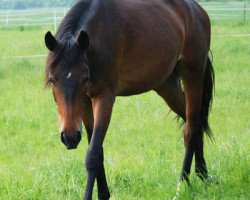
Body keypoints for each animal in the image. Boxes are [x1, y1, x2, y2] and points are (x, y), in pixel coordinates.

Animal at [44, 0, 214, 198]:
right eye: (52, 79)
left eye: (85, 78)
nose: (70, 137)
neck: (97, 39)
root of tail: (198, 11)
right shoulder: (85, 103)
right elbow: (97, 150)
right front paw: (104, 194)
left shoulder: (104, 98)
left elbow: (92, 154)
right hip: (167, 86)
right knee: (195, 122)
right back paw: (202, 174)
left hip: (193, 73)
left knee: (191, 128)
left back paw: (182, 184)